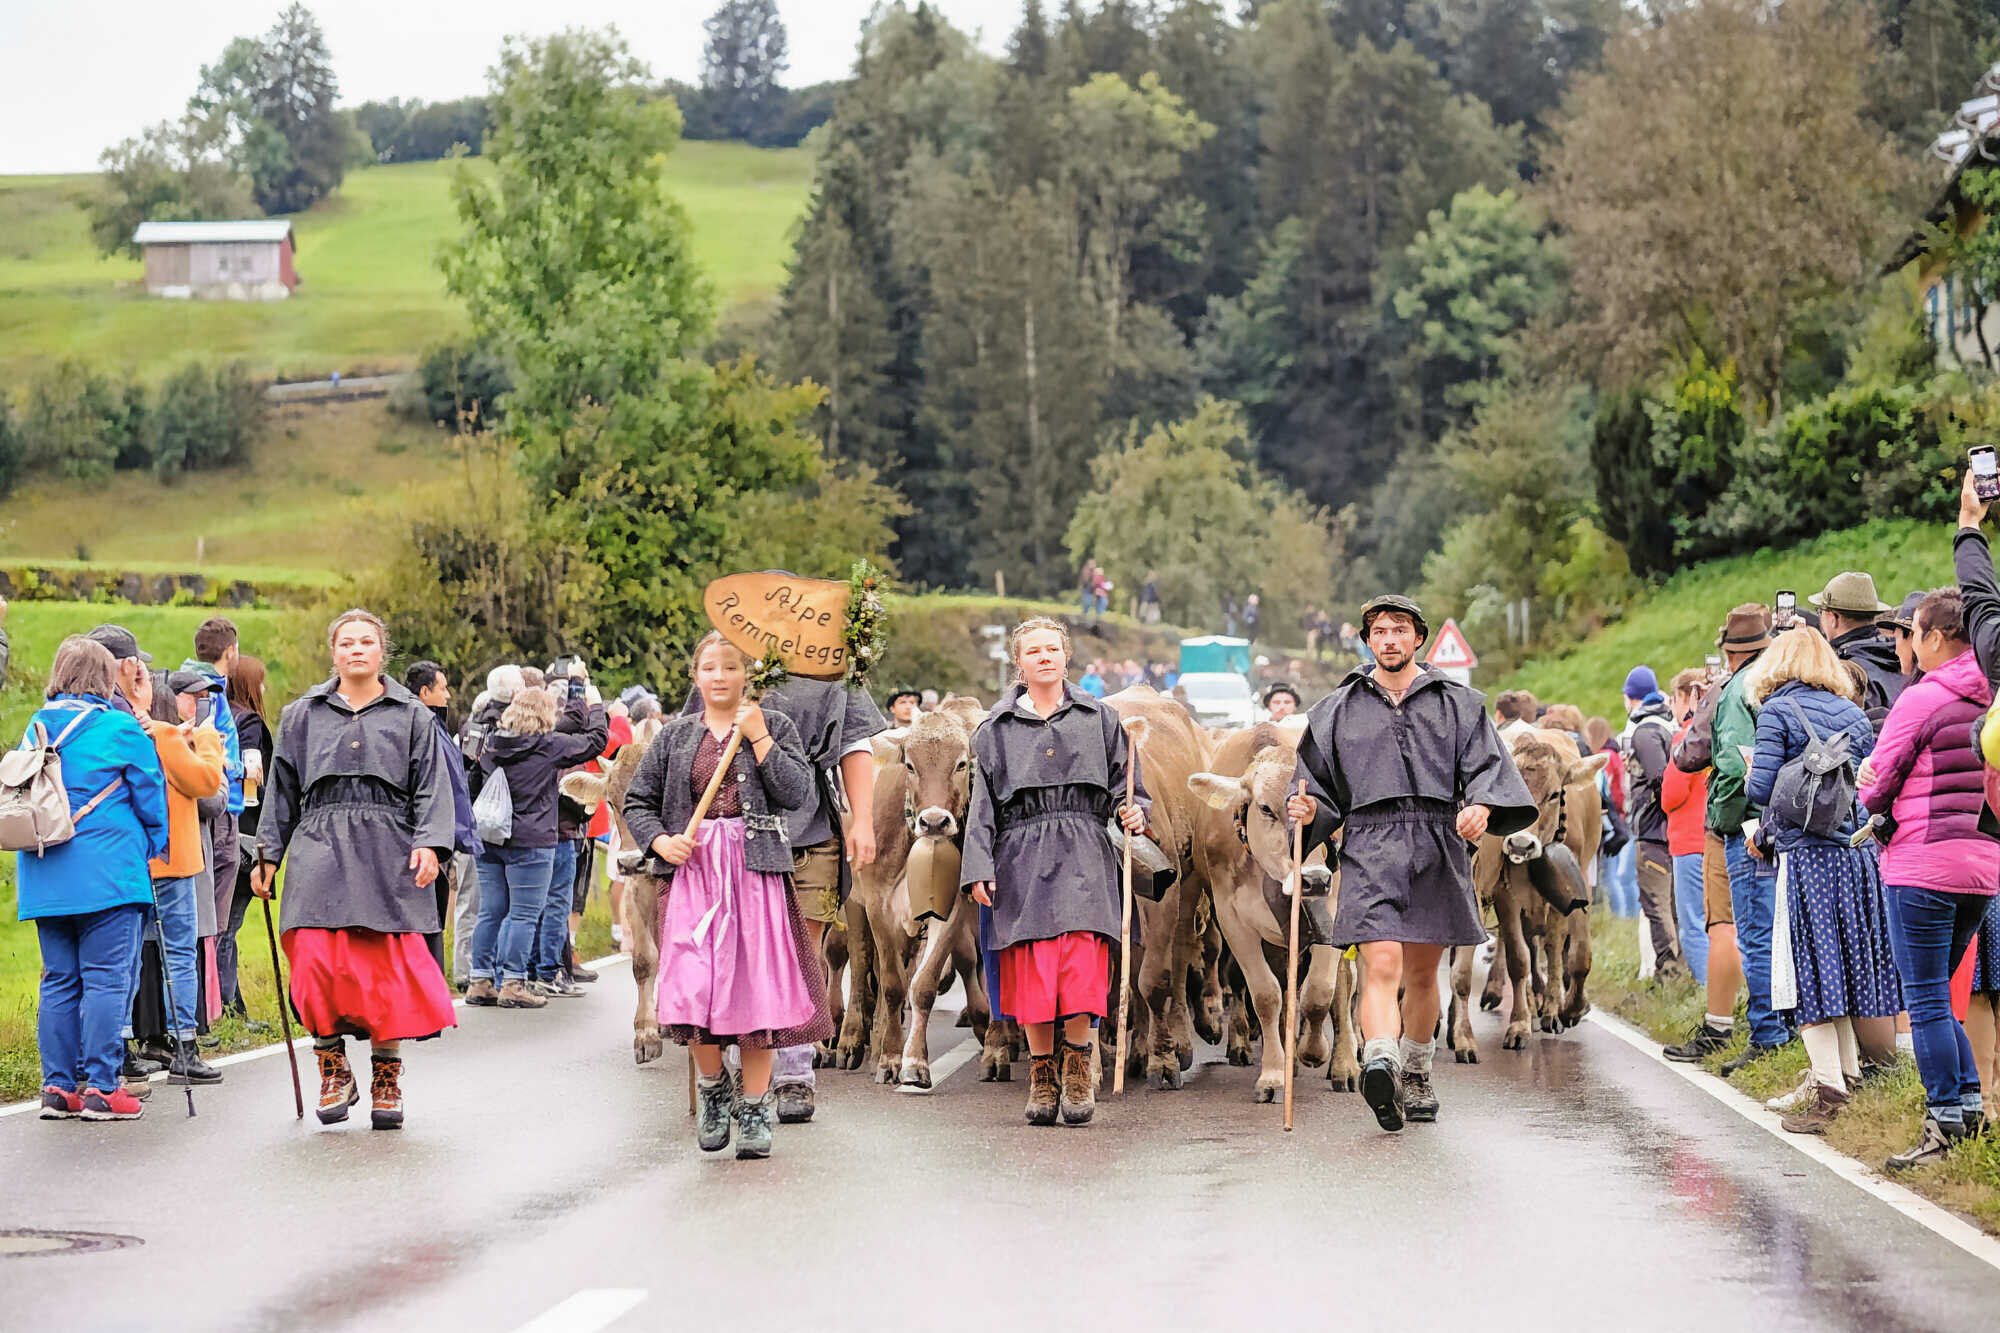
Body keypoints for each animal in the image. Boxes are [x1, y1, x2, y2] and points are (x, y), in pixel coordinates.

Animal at [1448, 728, 1600, 1056]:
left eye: (1554, 794)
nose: (1519, 844)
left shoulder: (1578, 882)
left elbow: (1577, 954)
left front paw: (1569, 1009)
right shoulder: (1508, 894)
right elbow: (1520, 957)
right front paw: (1521, 1022)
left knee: (1551, 944)